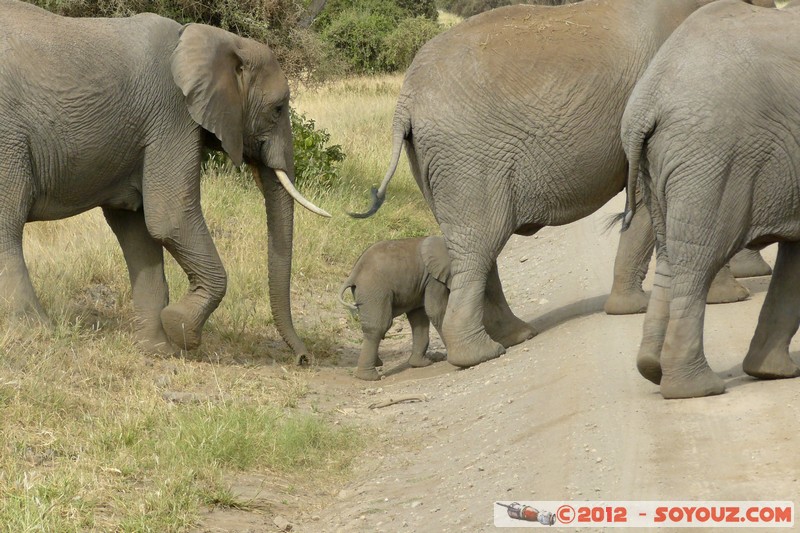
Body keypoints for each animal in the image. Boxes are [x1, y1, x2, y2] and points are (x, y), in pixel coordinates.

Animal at [0, 0, 328, 362]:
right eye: (278, 108)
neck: (219, 39)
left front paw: (158, 349)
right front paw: (181, 331)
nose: (304, 359)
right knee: (8, 224)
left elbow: (138, 228)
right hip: (8, 138)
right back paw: (36, 331)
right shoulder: (173, 116)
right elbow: (170, 218)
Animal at [338, 236, 450, 378]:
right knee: (379, 325)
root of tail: (353, 275)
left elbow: (418, 316)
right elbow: (436, 310)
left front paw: (422, 364)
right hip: (375, 290)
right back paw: (369, 377)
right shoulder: (434, 278)